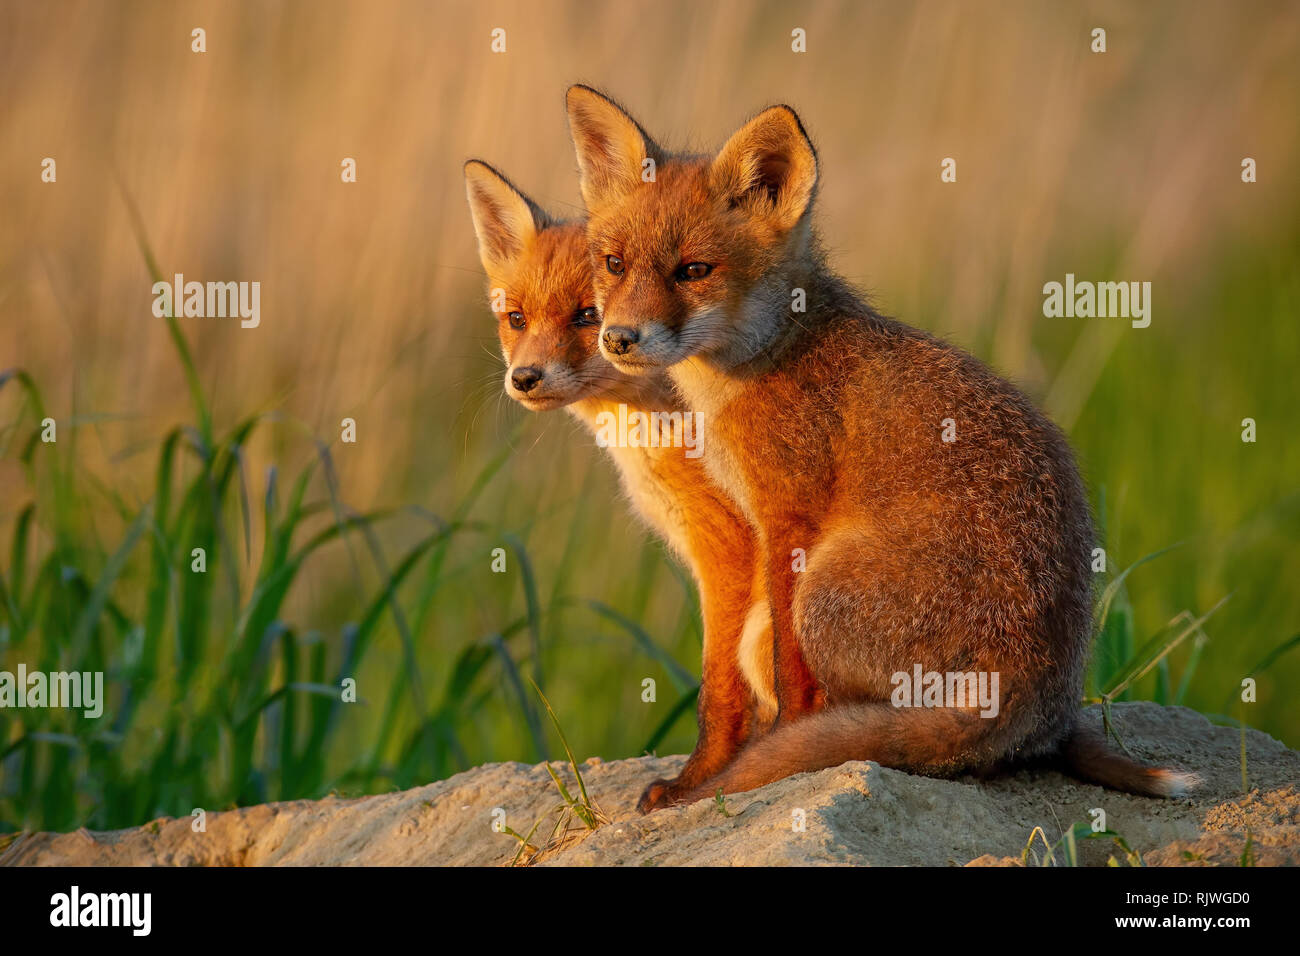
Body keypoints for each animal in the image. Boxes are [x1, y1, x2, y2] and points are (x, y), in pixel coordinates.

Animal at [465, 162, 769, 806]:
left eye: (588, 315)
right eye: (516, 319)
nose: (524, 378)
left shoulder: (729, 549)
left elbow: (721, 689)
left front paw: (702, 780)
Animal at [561, 85, 1196, 806]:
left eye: (694, 271)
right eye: (613, 264)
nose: (619, 338)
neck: (764, 359)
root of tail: (1040, 698)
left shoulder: (788, 518)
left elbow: (787, 679)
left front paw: (751, 759)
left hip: (823, 595)